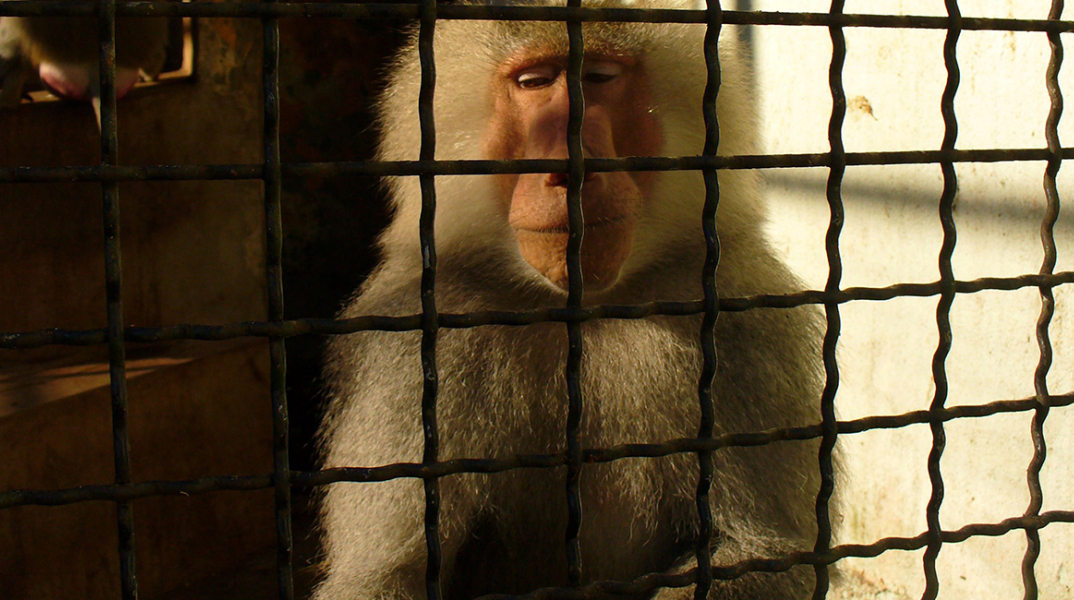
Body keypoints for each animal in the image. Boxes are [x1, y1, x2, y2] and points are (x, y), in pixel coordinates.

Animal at [315, 1, 828, 598]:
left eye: (599, 79)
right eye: (534, 82)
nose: (570, 168)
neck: (579, 313)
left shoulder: (743, 323)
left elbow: (765, 553)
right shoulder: (411, 346)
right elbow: (386, 573)